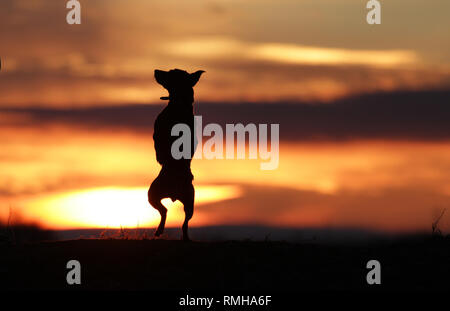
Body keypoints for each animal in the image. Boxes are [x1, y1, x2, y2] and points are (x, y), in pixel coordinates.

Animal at [148, 69, 204, 243]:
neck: (180, 103)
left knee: (165, 212)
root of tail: (173, 193)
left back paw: (159, 231)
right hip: (187, 203)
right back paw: (183, 237)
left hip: (152, 194)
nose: (156, 70)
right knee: (182, 222)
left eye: (170, 73)